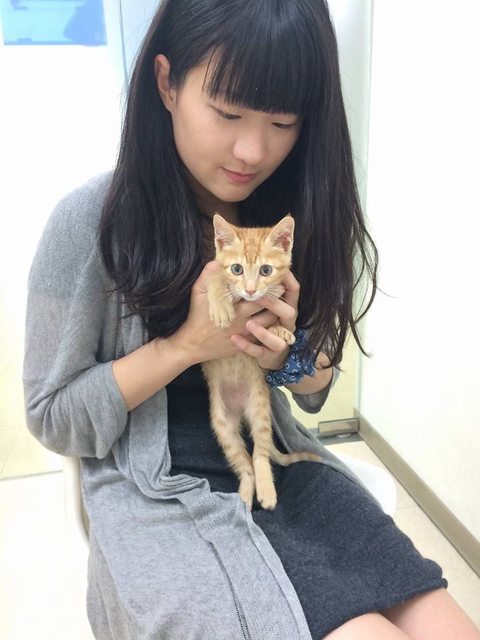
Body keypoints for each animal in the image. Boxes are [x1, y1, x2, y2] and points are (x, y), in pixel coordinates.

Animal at [201, 213, 322, 511]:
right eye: (236, 269)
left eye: (266, 271)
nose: (251, 290)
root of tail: (240, 411)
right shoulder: (209, 275)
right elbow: (215, 278)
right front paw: (221, 307)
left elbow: (274, 310)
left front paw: (280, 329)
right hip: (222, 425)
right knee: (245, 467)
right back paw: (244, 500)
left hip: (260, 410)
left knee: (259, 455)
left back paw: (266, 491)